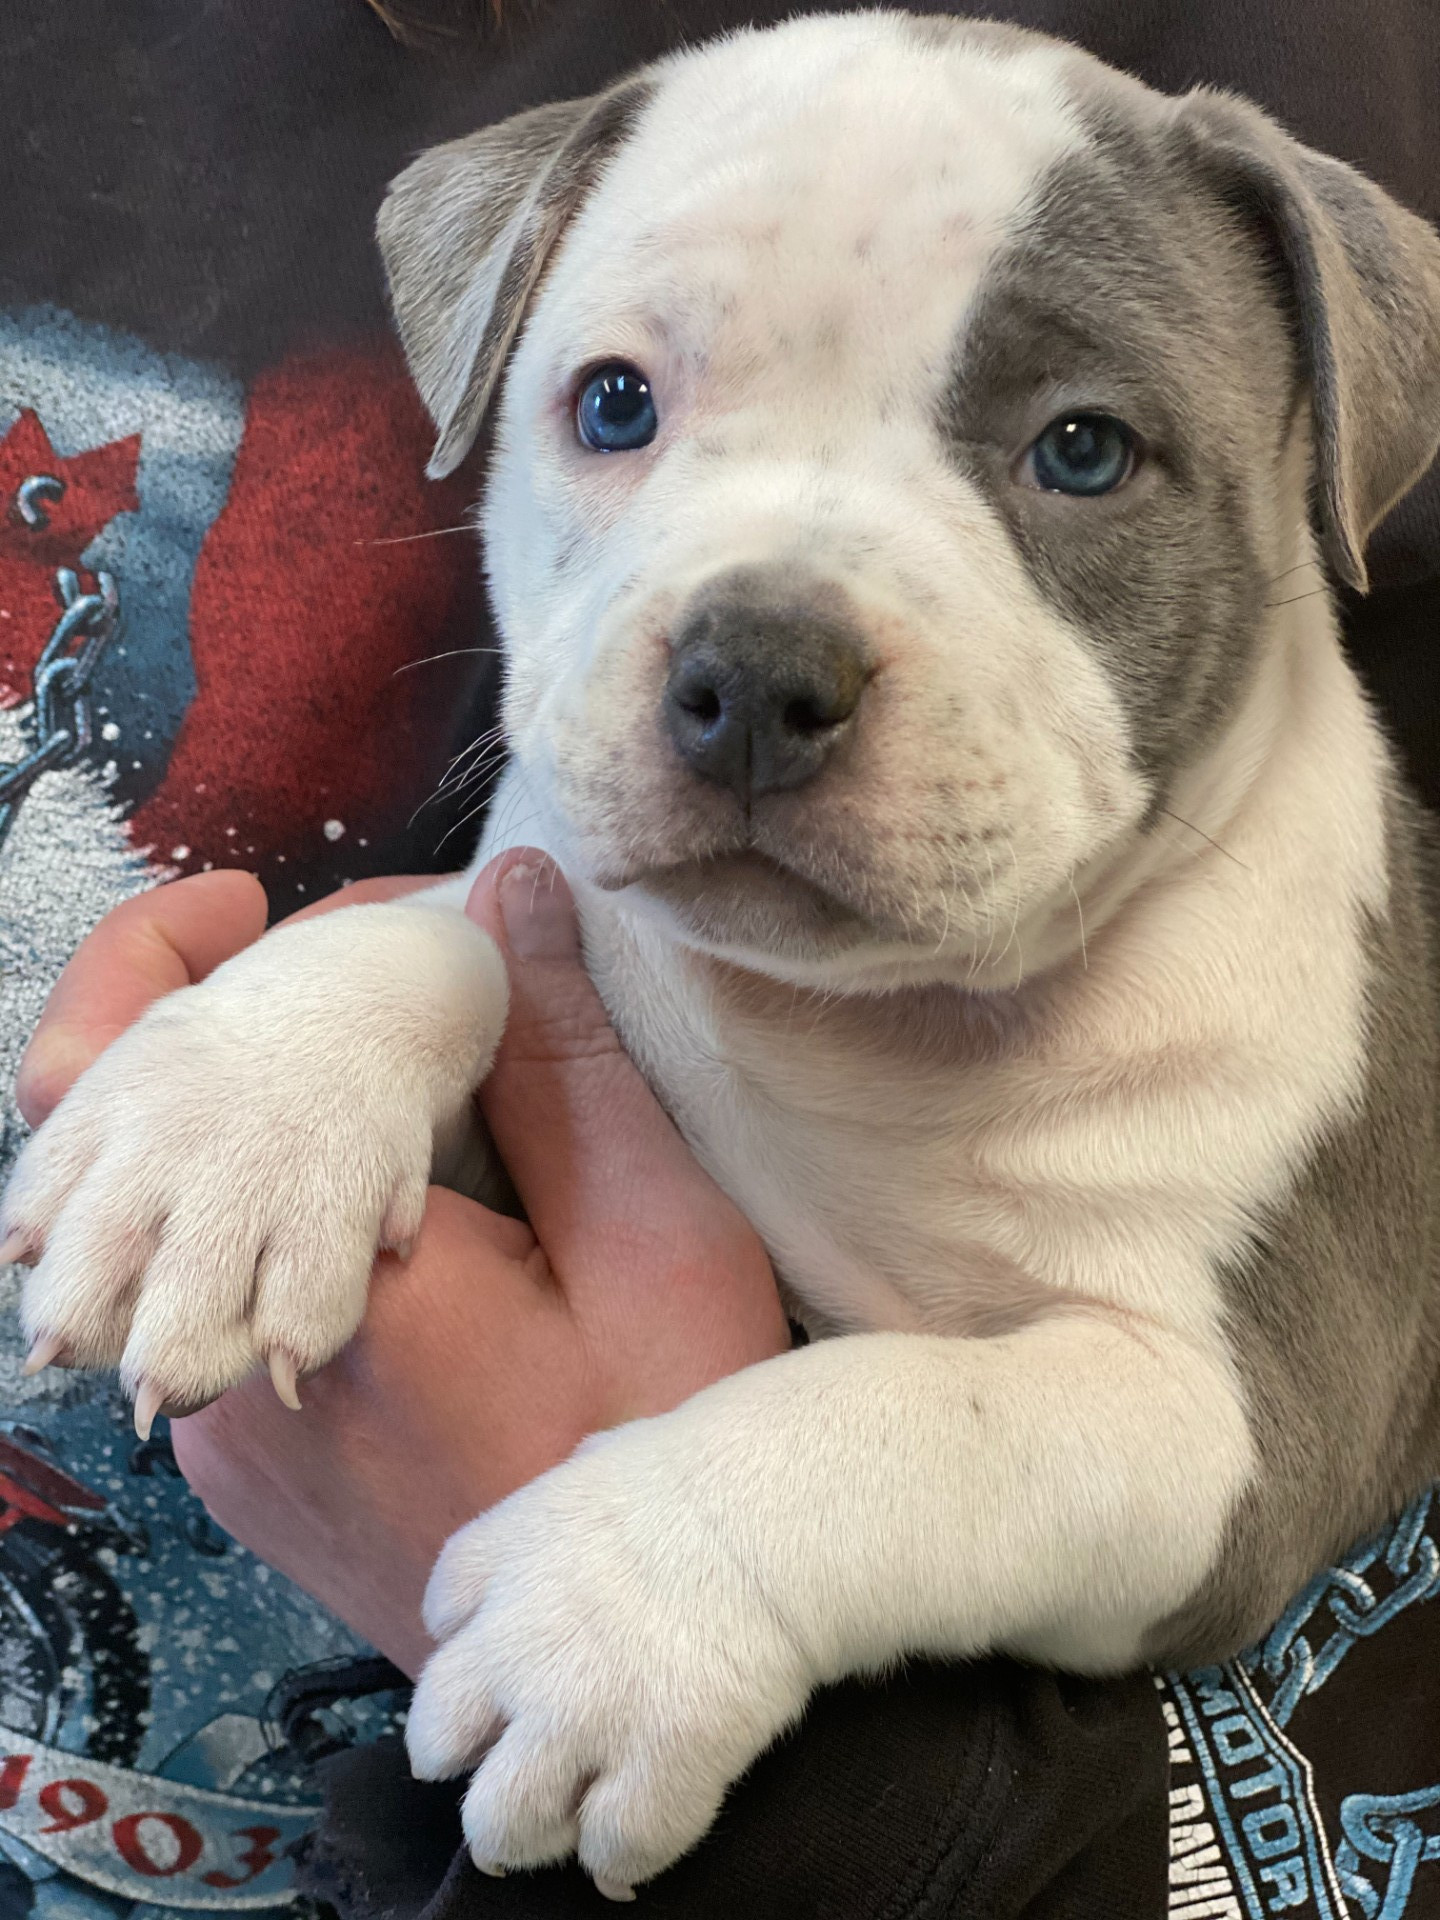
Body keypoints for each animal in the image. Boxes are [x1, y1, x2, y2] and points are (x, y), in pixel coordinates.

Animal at [8, 9, 1440, 1896]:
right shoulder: (569, 922)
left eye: (1083, 452)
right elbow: (456, 921)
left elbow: (919, 1423)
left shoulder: (1228, 1431)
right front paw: (229, 1129)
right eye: (615, 401)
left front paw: (618, 1616)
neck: (857, 1031)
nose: (755, 667)